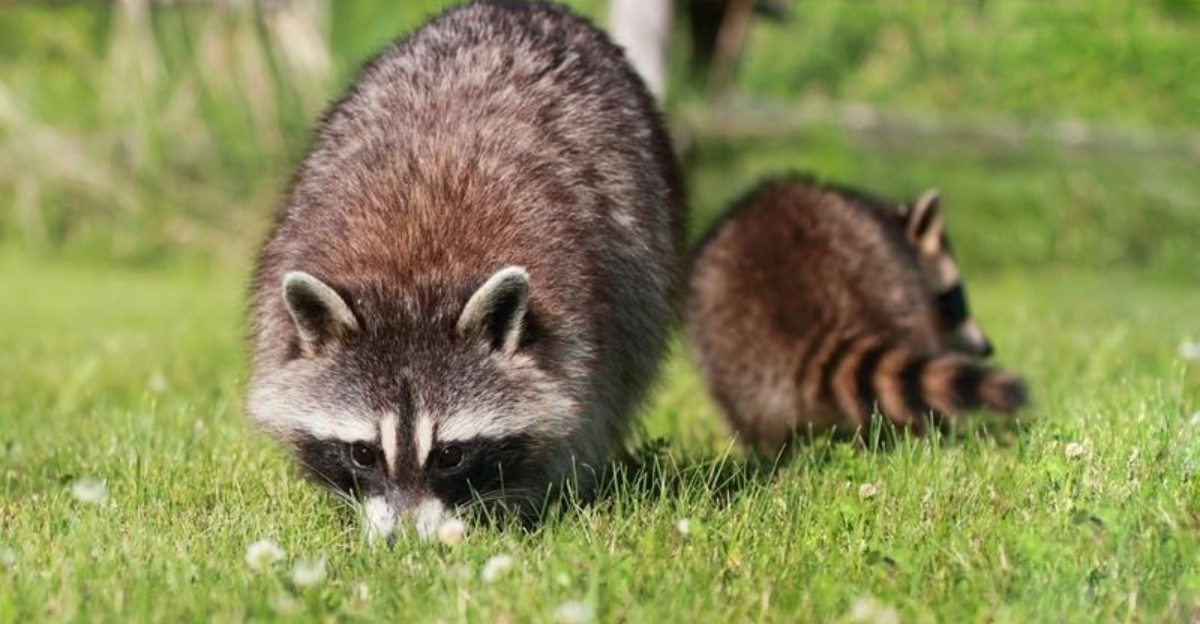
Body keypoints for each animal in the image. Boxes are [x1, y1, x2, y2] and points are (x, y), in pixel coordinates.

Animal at [247, 2, 684, 539]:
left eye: (450, 455)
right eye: (363, 453)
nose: (403, 541)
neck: (412, 274)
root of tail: (520, 8)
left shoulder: (579, 318)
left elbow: (577, 408)